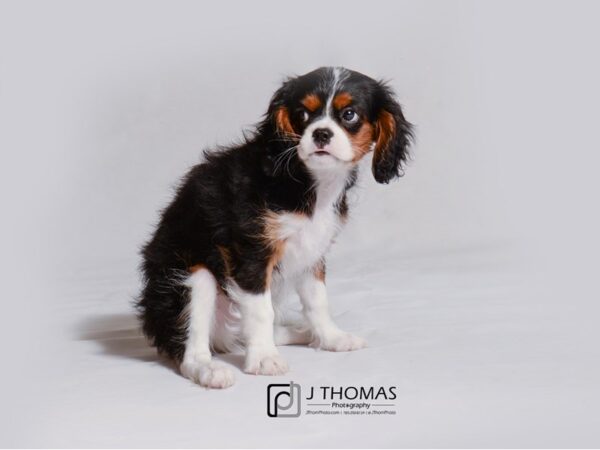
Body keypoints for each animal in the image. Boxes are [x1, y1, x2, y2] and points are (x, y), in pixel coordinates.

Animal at [139, 66, 414, 386]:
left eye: (349, 115)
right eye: (302, 114)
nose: (321, 133)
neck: (310, 181)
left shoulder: (312, 252)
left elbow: (317, 301)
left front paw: (331, 338)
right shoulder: (252, 253)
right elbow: (261, 310)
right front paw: (264, 359)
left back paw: (302, 333)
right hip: (194, 278)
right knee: (191, 348)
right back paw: (210, 370)